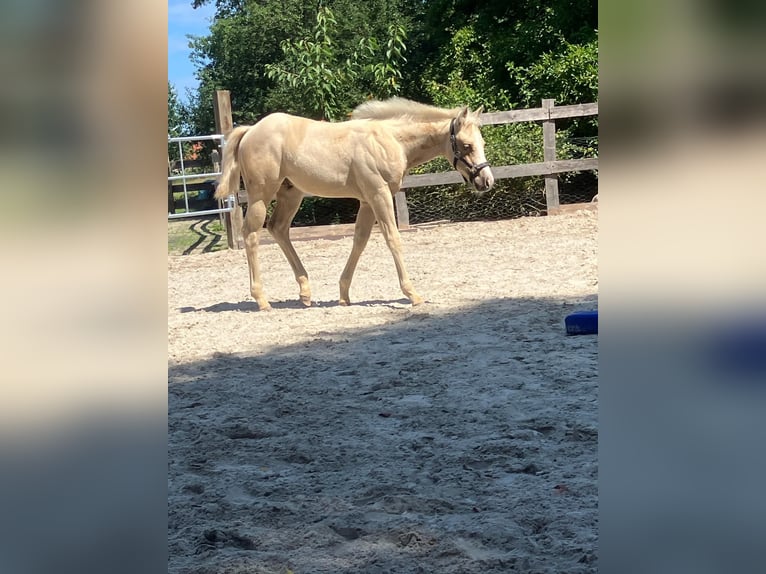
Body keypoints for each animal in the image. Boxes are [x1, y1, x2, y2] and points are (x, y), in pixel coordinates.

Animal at [214, 97, 494, 311]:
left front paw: (344, 295)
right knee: (251, 234)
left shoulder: (367, 201)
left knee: (278, 229)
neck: (389, 140)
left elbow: (360, 240)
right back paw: (262, 300)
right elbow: (393, 239)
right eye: (467, 145)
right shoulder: (379, 194)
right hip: (261, 195)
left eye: (482, 143)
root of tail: (250, 130)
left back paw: (305, 293)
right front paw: (412, 294)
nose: (487, 181)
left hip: (291, 194)